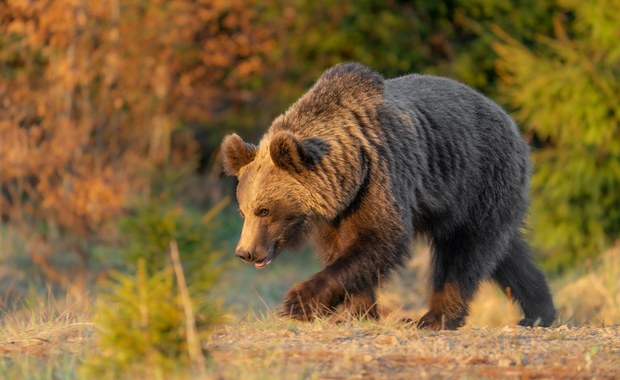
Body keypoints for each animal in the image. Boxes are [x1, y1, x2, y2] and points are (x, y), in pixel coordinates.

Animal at [222, 62, 556, 330]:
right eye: (243, 211)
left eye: (264, 210)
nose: (245, 252)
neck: (350, 170)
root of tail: (511, 121)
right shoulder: (338, 210)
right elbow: (342, 250)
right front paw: (357, 311)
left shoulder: (381, 176)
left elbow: (381, 238)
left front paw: (297, 302)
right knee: (505, 252)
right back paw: (539, 311)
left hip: (477, 179)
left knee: (463, 253)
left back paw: (435, 317)